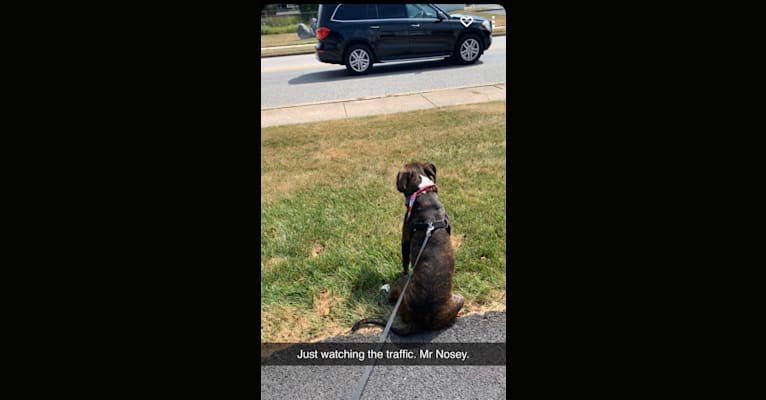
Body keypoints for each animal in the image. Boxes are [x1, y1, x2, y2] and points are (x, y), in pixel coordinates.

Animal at [352, 161, 464, 336]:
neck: (423, 193)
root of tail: (417, 322)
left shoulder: (404, 239)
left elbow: (404, 261)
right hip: (460, 299)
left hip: (403, 283)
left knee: (386, 300)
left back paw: (385, 289)